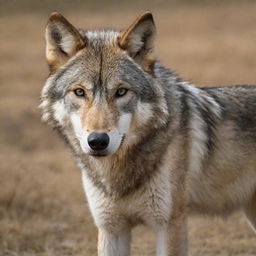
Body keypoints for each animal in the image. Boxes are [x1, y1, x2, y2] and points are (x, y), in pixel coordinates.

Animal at [40, 11, 256, 256]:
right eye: (79, 92)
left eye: (121, 91)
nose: (98, 141)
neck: (118, 176)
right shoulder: (111, 229)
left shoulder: (170, 225)